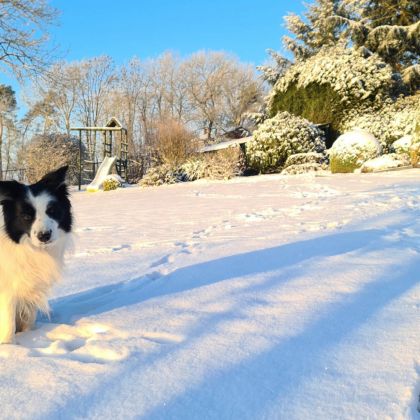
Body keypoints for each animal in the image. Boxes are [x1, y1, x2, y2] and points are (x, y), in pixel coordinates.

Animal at [0, 166, 72, 342]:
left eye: (52, 211)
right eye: (26, 216)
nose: (44, 235)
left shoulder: (31, 290)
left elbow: (28, 322)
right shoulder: (7, 293)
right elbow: (8, 328)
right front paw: (10, 347)